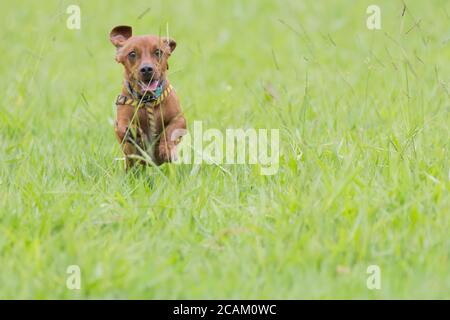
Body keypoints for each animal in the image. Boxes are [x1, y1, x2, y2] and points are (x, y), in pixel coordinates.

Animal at [110, 25, 186, 169]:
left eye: (158, 52)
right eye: (132, 54)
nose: (146, 69)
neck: (148, 100)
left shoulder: (180, 119)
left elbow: (170, 131)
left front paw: (166, 149)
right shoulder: (120, 121)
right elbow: (122, 127)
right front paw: (133, 132)